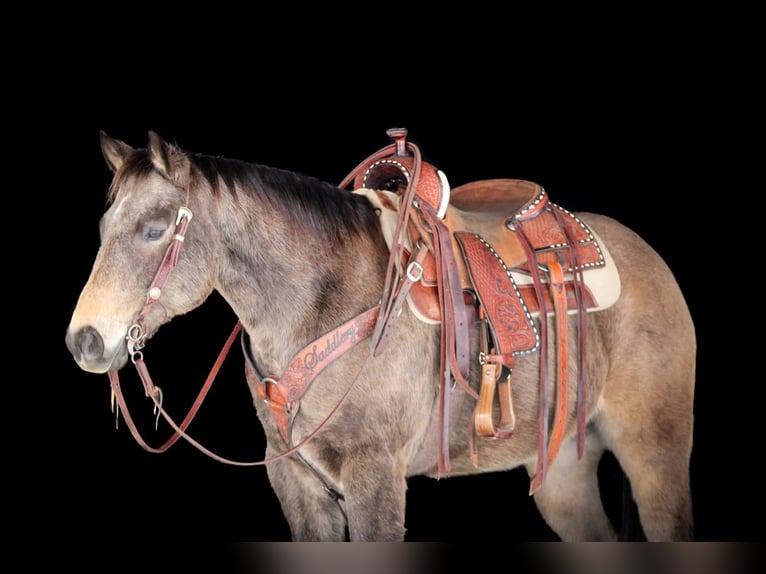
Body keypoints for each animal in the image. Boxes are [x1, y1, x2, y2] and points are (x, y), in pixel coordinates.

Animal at [64, 129, 696, 541]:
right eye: (104, 225)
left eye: (153, 230)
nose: (85, 340)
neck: (322, 306)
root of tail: (651, 260)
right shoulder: (294, 479)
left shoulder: (376, 478)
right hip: (564, 464)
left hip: (655, 452)